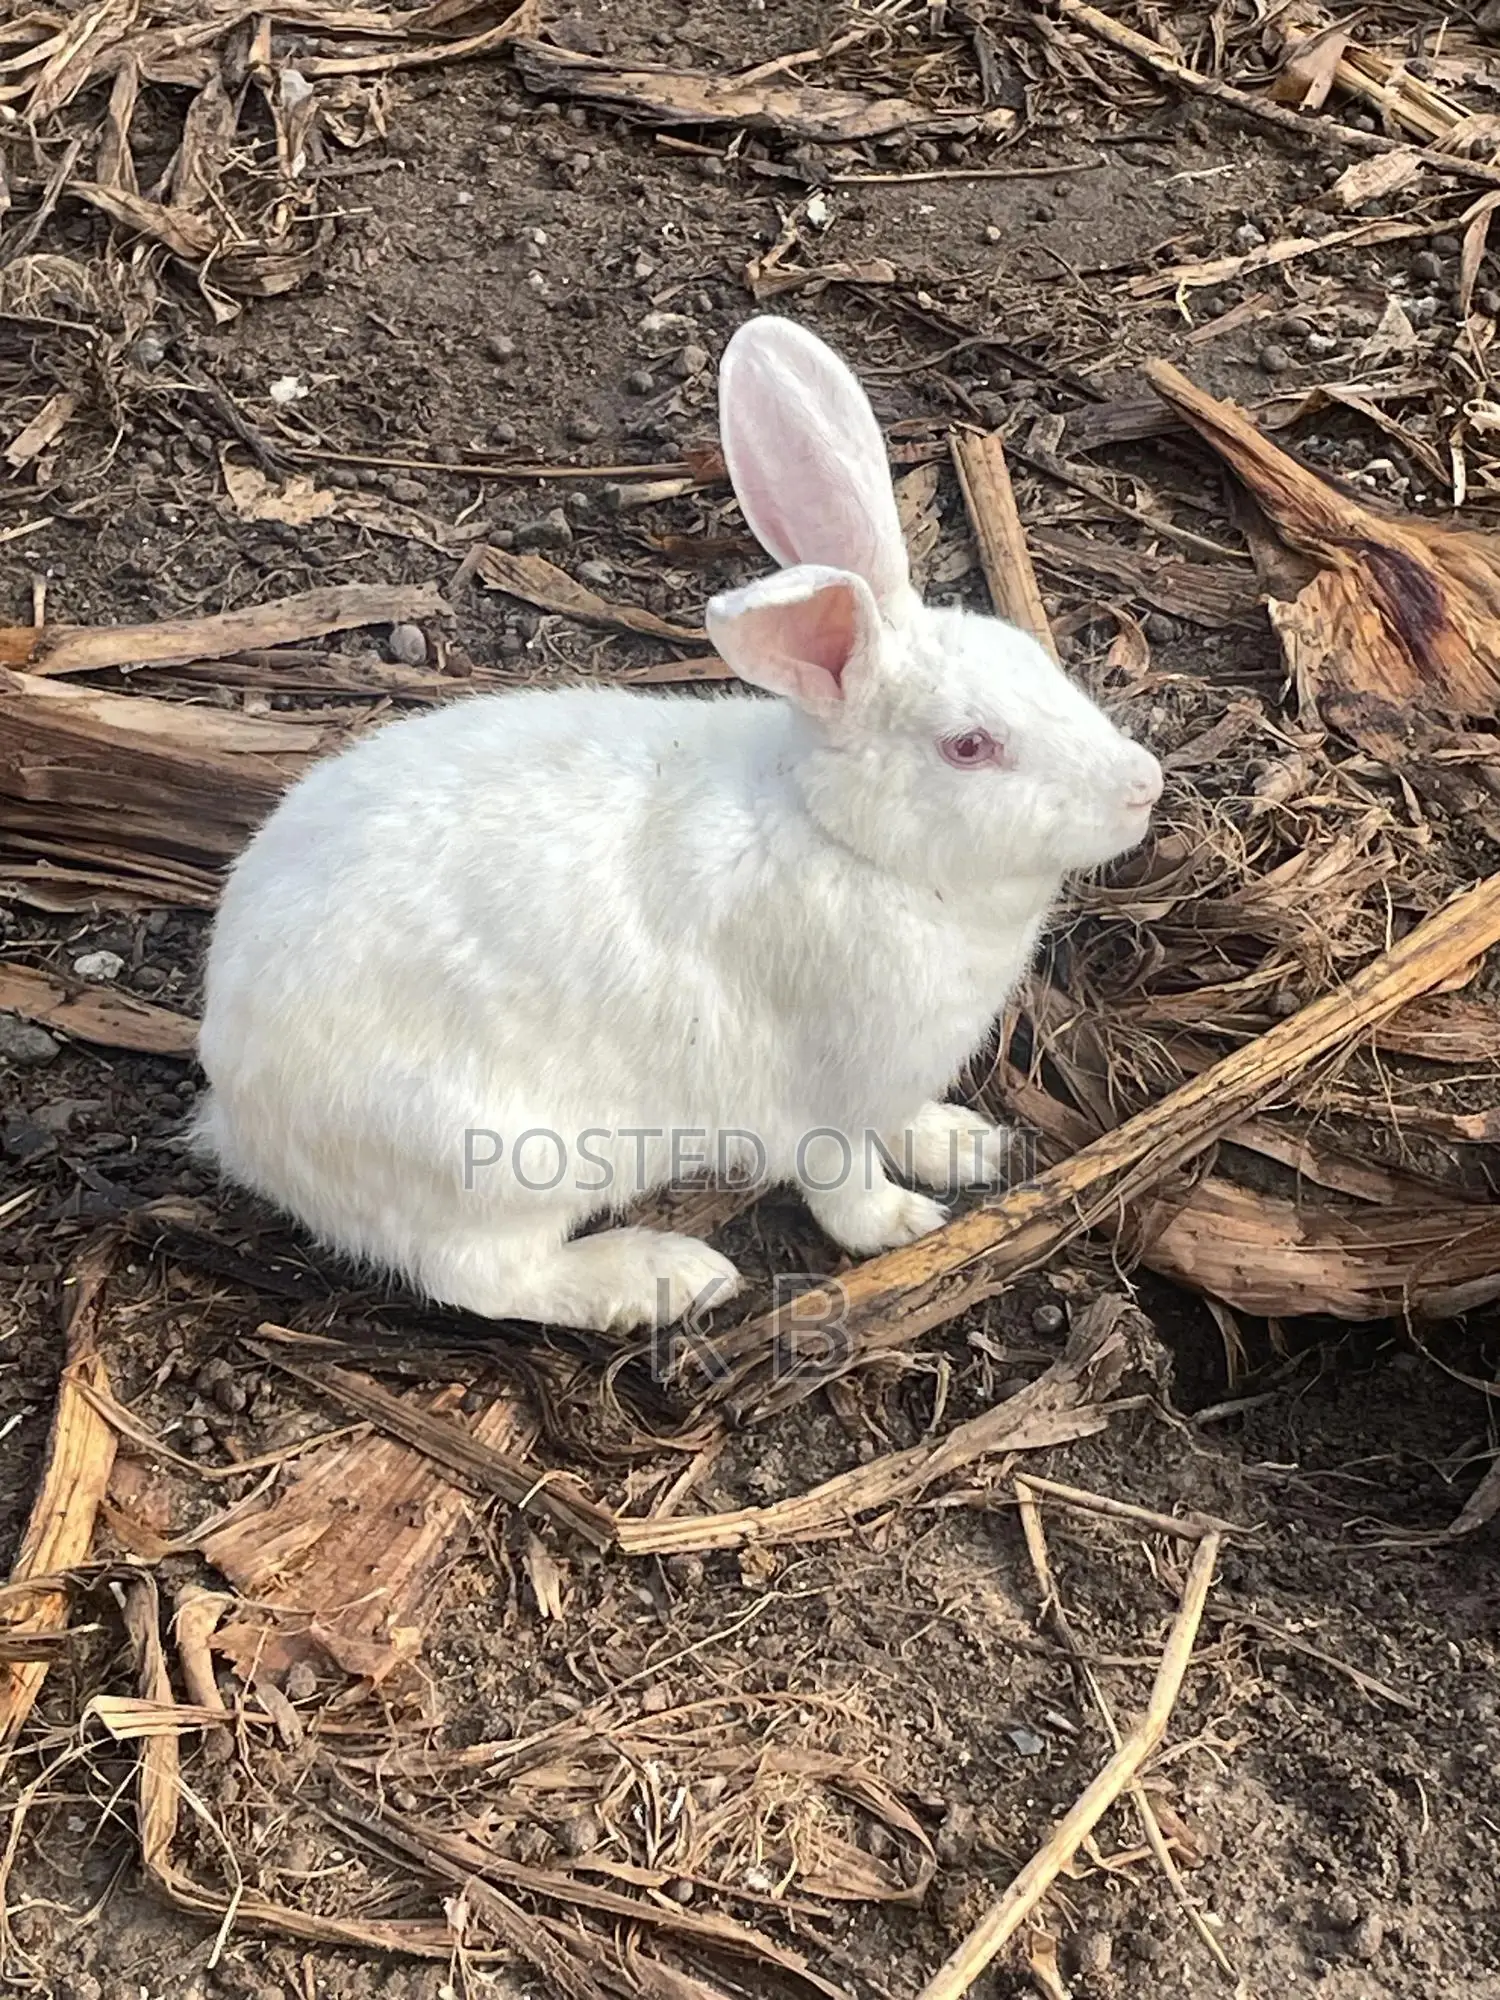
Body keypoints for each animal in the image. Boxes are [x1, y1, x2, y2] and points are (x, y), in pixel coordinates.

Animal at [192, 313, 1163, 1336]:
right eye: (969, 747)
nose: (1143, 786)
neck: (843, 837)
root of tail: (241, 1113)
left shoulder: (894, 1082)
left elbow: (907, 1123)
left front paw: (965, 1146)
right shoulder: (824, 1098)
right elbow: (843, 1183)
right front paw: (903, 1222)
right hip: (501, 1164)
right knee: (478, 1277)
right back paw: (668, 1275)